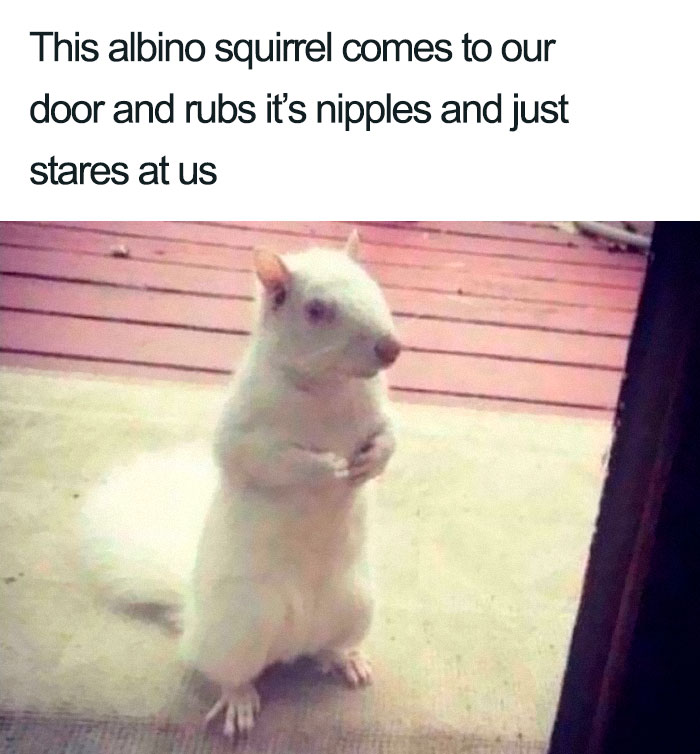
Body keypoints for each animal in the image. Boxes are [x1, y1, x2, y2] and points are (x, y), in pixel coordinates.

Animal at [81, 231, 401, 738]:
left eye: (374, 285)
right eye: (316, 310)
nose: (392, 347)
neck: (328, 387)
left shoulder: (380, 413)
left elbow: (391, 435)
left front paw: (370, 461)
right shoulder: (245, 428)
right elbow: (261, 458)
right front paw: (326, 468)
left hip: (355, 607)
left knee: (327, 647)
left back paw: (345, 658)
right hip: (239, 627)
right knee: (231, 673)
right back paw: (240, 700)